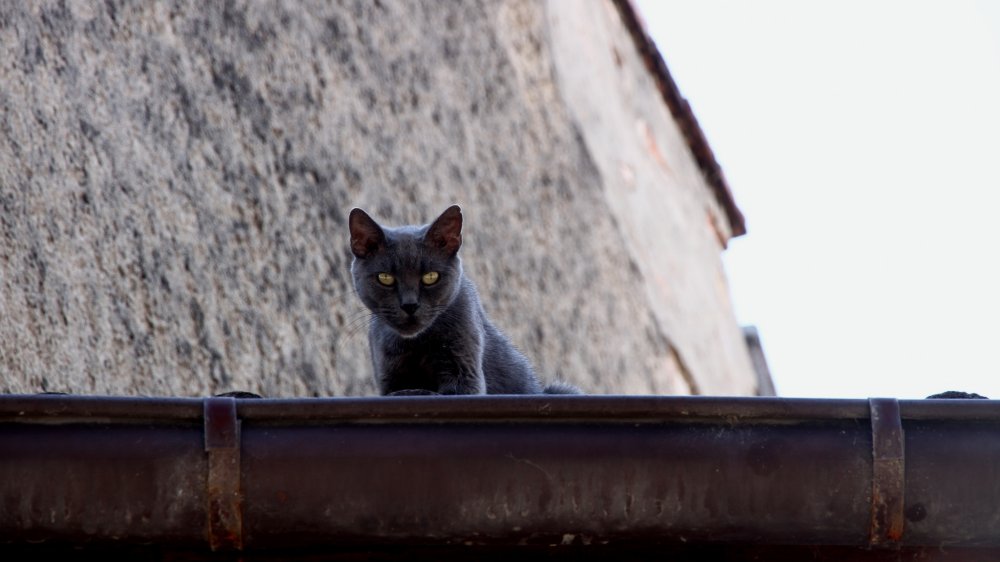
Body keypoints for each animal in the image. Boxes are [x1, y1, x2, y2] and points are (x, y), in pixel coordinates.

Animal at [348, 205, 580, 394]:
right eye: (385, 278)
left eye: (430, 277)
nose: (410, 305)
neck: (414, 345)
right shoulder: (388, 376)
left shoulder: (465, 372)